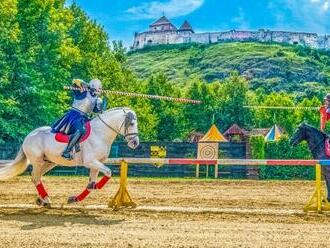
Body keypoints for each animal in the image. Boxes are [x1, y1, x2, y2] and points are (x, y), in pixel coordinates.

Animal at [0, 107, 139, 206]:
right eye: (132, 124)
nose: (135, 143)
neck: (100, 133)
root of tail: (29, 136)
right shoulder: (91, 162)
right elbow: (108, 172)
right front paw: (95, 187)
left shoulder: (96, 163)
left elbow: (92, 182)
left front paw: (75, 198)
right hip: (37, 161)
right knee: (35, 177)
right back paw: (46, 200)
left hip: (49, 162)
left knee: (36, 177)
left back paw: (42, 199)